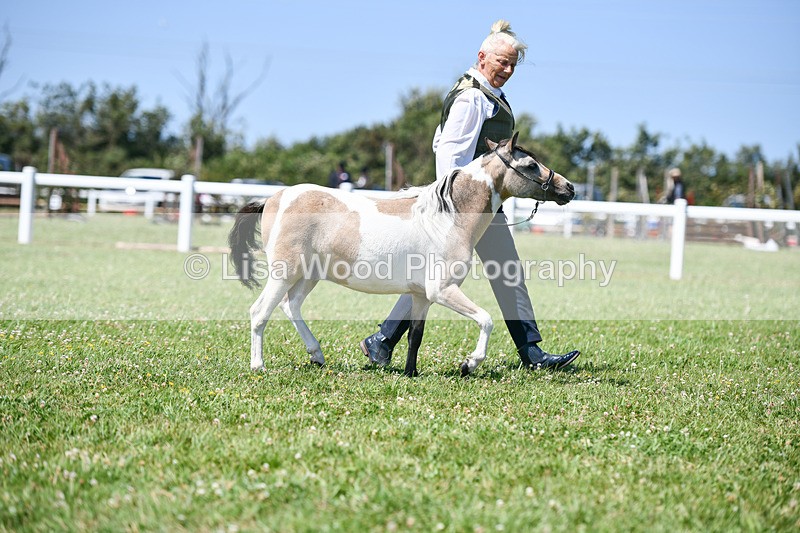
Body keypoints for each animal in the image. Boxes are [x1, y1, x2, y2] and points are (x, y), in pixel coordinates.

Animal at [228, 133, 575, 377]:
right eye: (530, 165)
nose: (568, 188)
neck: (448, 218)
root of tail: (274, 199)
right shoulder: (443, 291)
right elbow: (487, 320)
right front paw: (469, 364)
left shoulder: (421, 296)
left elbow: (415, 337)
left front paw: (411, 373)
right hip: (284, 272)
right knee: (260, 312)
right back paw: (259, 366)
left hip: (309, 275)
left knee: (291, 306)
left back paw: (317, 355)